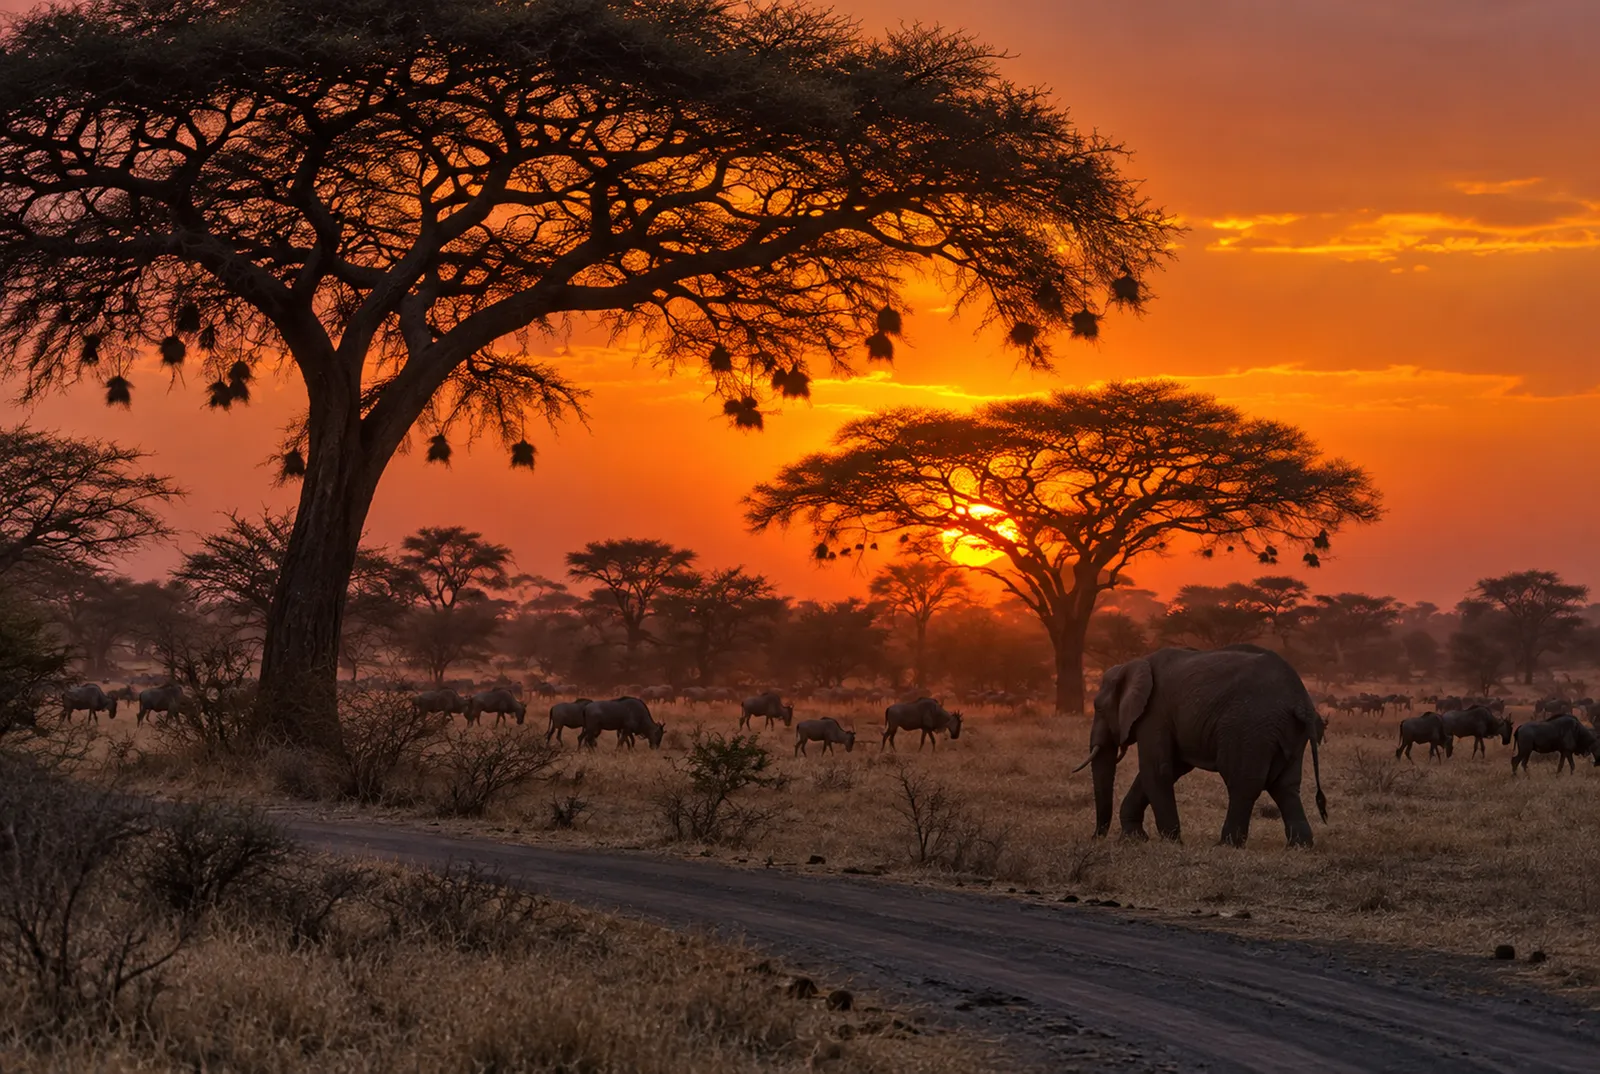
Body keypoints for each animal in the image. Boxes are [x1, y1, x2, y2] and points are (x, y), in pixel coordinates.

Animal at [1079, 646, 1326, 848]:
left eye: (1098, 708)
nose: (1094, 837)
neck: (1133, 664)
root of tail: (1301, 701)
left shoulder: (1154, 713)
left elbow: (1157, 769)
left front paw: (1171, 842)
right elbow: (1171, 768)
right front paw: (1134, 840)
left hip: (1250, 726)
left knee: (1243, 783)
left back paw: (1226, 845)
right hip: (1289, 732)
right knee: (1285, 786)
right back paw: (1299, 846)